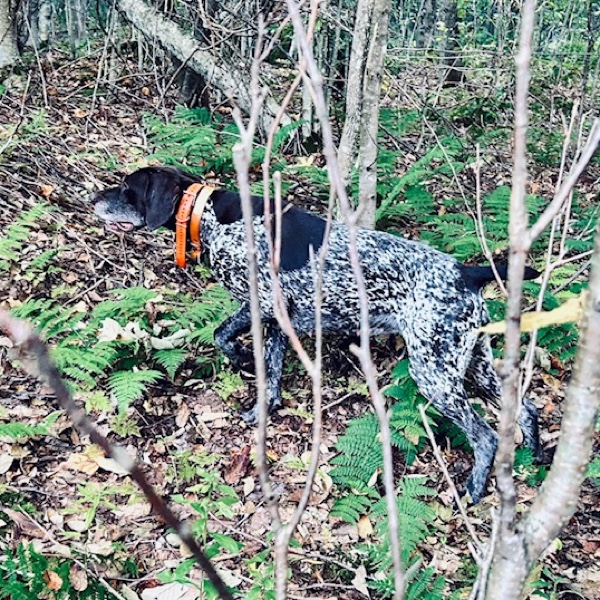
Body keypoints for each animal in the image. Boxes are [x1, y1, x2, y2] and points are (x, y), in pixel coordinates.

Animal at [95, 165, 544, 502]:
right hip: (473, 364)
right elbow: (271, 374)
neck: (212, 217)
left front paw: (241, 359)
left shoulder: (261, 305)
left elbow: (222, 335)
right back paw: (533, 460)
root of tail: (467, 272)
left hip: (435, 372)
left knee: (485, 435)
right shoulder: (280, 322)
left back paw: (475, 488)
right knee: (526, 408)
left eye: (127, 188)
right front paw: (262, 409)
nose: (93, 199)